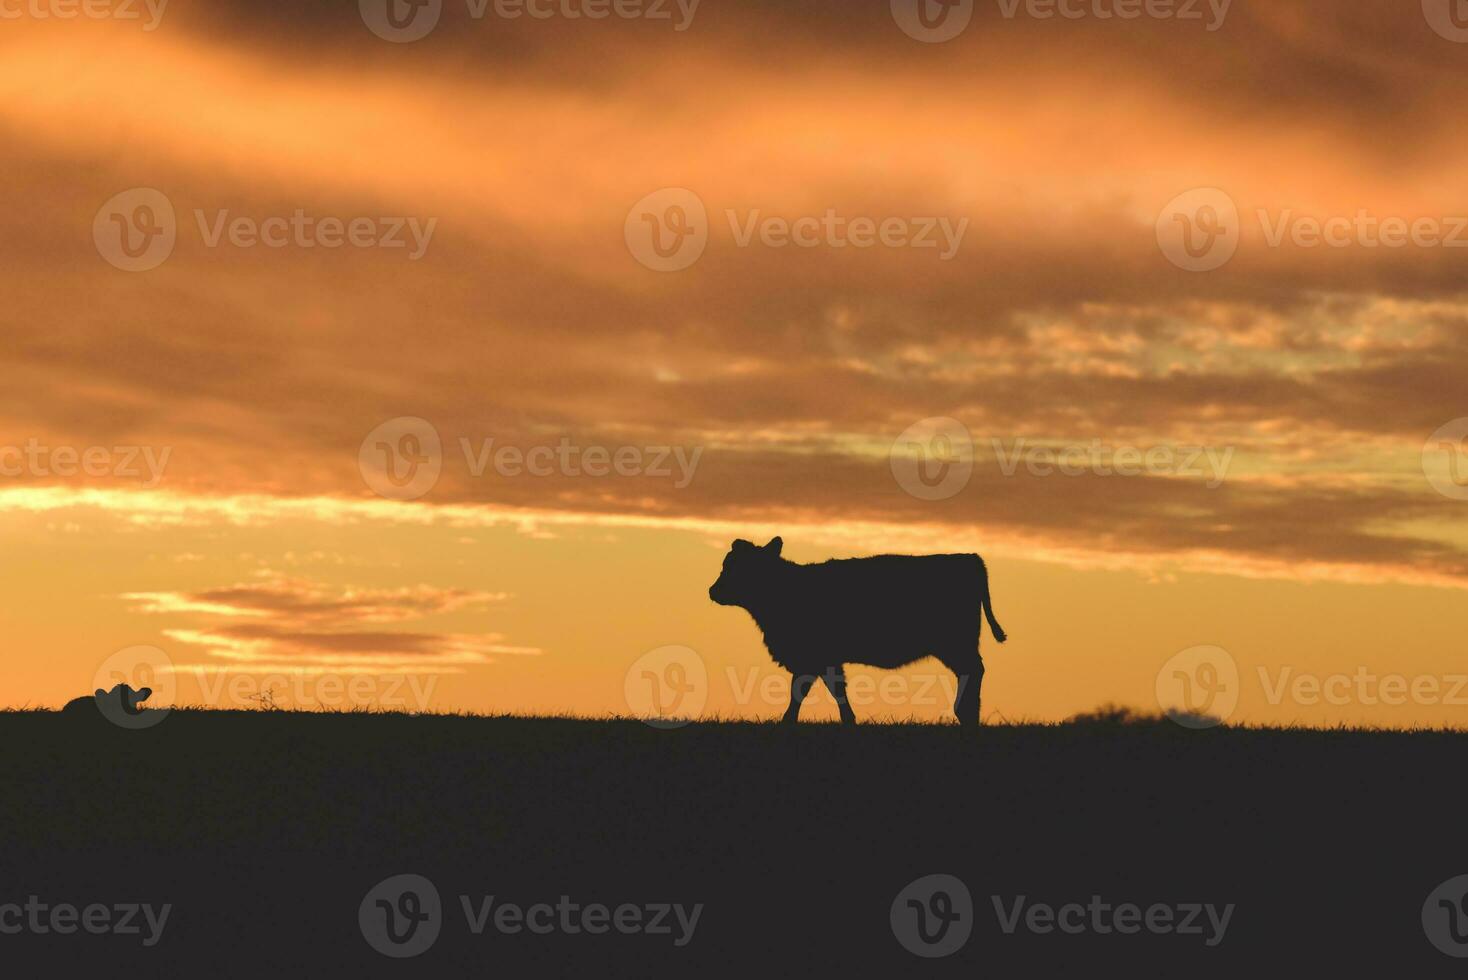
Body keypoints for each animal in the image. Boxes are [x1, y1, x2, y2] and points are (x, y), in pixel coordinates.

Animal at [707, 536, 1009, 727]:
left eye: (733, 567)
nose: (713, 590)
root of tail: (969, 558)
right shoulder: (825, 659)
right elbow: (834, 688)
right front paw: (848, 719)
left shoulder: (811, 657)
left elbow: (801, 689)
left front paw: (787, 720)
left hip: (955, 644)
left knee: (973, 670)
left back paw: (966, 713)